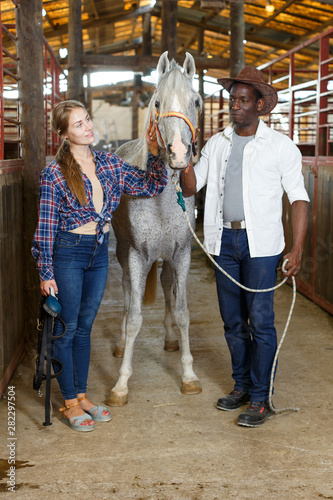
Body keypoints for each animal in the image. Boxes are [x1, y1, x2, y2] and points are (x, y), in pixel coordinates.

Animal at [106, 51, 201, 406]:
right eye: (158, 102)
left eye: (197, 101)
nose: (178, 154)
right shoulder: (136, 256)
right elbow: (134, 317)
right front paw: (121, 385)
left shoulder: (182, 255)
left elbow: (183, 310)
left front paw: (189, 376)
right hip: (123, 254)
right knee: (126, 293)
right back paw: (121, 344)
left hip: (167, 259)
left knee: (165, 285)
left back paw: (171, 338)